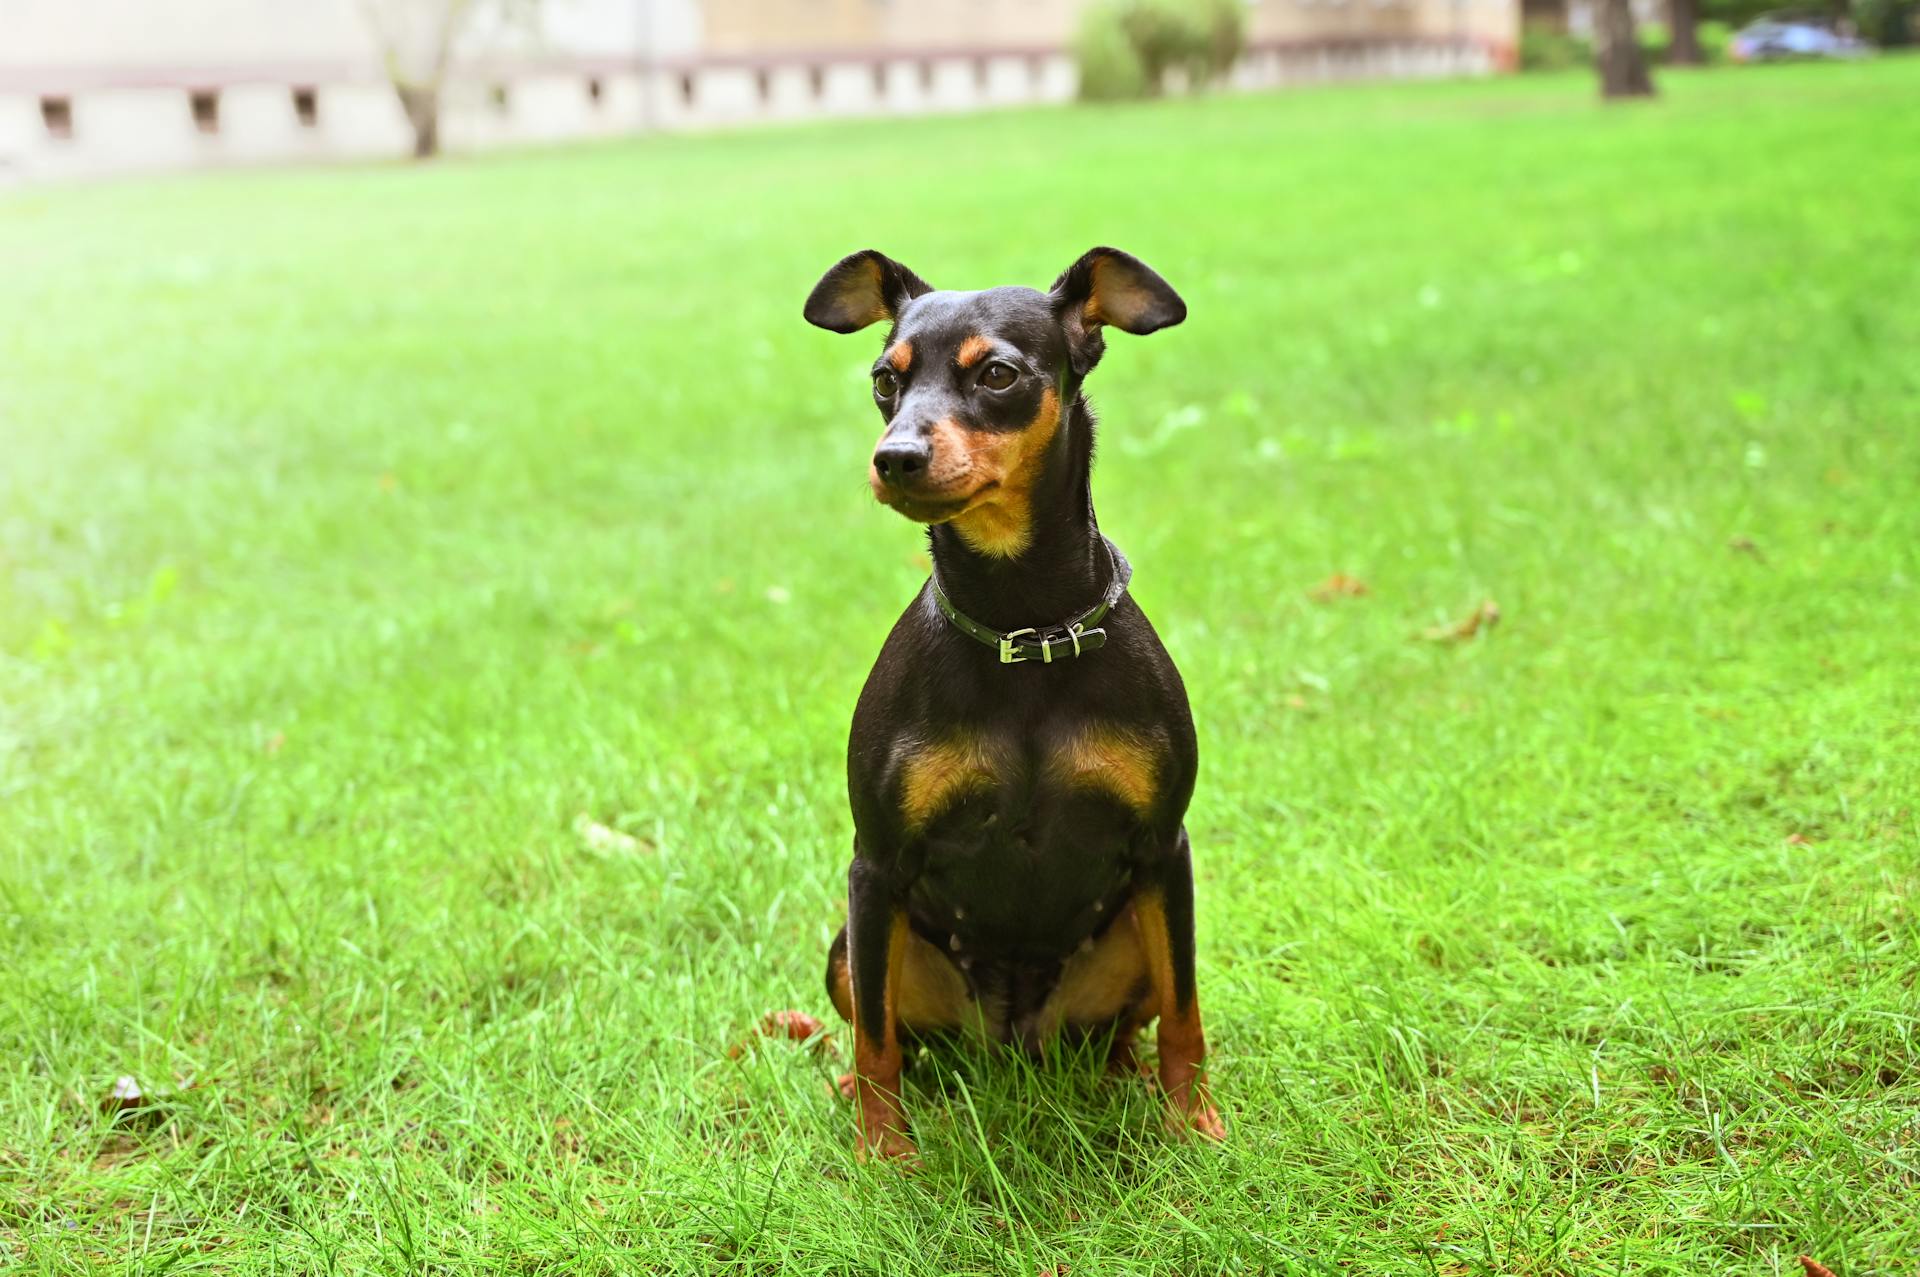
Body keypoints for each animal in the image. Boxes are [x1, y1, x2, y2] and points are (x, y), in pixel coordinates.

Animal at [802, 243, 1221, 1159]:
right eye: (883, 380)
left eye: (997, 373)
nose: (895, 456)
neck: (1022, 627)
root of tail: (1014, 1040)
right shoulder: (875, 865)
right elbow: (876, 1039)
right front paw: (884, 1154)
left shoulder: (1163, 852)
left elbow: (1187, 1013)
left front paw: (1195, 1126)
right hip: (854, 946)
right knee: (895, 1036)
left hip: (1132, 935)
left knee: (1130, 1024)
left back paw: (1128, 1079)